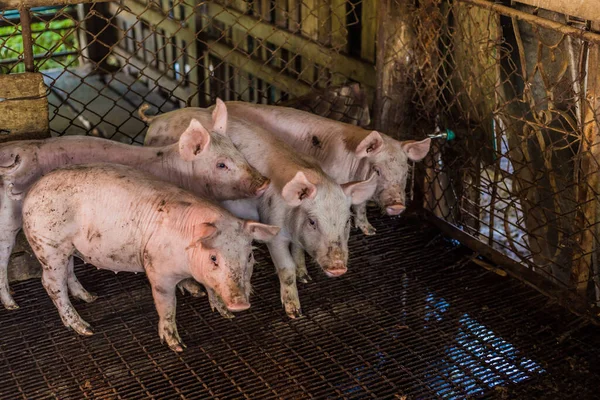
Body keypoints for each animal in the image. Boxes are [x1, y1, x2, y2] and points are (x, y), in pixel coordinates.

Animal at [0, 99, 270, 310]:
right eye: (221, 164)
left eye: (239, 152)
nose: (265, 181)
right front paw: (194, 289)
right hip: (9, 223)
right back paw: (13, 305)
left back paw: (89, 297)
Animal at [21, 162, 278, 350]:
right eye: (214, 258)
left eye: (249, 257)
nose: (241, 304)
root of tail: (31, 192)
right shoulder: (158, 271)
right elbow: (167, 304)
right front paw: (177, 345)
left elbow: (210, 288)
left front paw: (225, 313)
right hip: (48, 244)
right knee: (51, 283)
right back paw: (85, 328)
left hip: (67, 248)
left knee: (69, 272)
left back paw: (90, 297)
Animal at [139, 104, 376, 318]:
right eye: (312, 222)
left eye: (347, 221)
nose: (338, 268)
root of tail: (158, 118)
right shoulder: (274, 227)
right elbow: (286, 268)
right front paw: (294, 312)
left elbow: (298, 253)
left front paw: (305, 277)